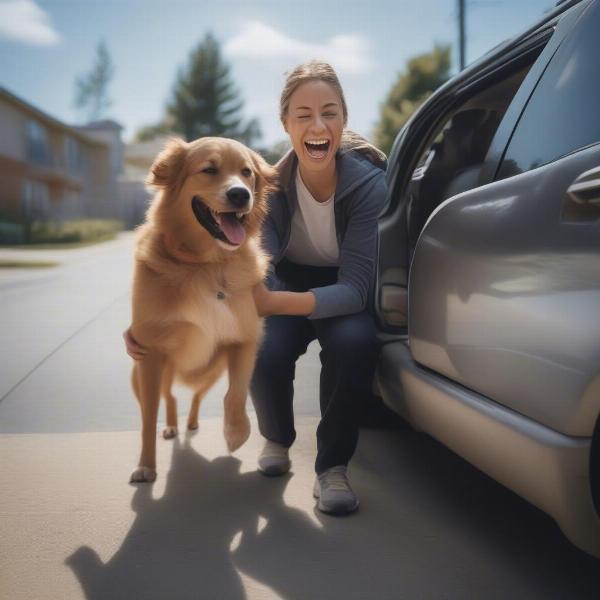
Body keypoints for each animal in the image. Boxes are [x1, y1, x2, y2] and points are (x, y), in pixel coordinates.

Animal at [130, 136, 276, 482]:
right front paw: (146, 465)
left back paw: (192, 422)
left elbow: (236, 393)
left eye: (247, 173)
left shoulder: (245, 339)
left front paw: (236, 433)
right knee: (168, 396)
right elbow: (147, 417)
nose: (241, 194)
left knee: (195, 395)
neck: (205, 265)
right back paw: (171, 426)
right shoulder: (149, 353)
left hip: (211, 371)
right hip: (142, 373)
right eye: (209, 169)